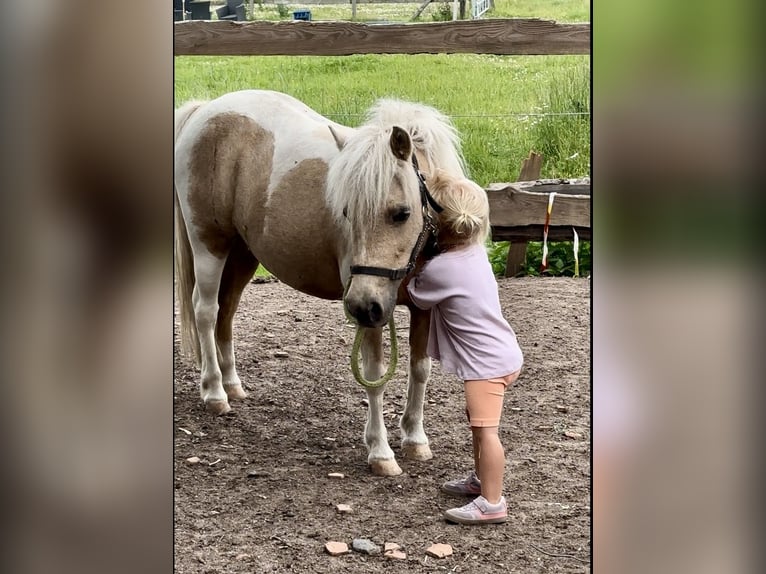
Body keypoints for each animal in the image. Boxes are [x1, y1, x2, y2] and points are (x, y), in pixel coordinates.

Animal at [174, 90, 464, 476]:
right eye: (346, 212)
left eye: (401, 213)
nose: (360, 305)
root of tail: (205, 110)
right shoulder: (372, 315)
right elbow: (374, 376)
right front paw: (380, 452)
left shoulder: (420, 309)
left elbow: (420, 370)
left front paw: (415, 439)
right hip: (209, 245)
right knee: (206, 311)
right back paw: (214, 393)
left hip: (243, 254)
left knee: (226, 313)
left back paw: (232, 384)